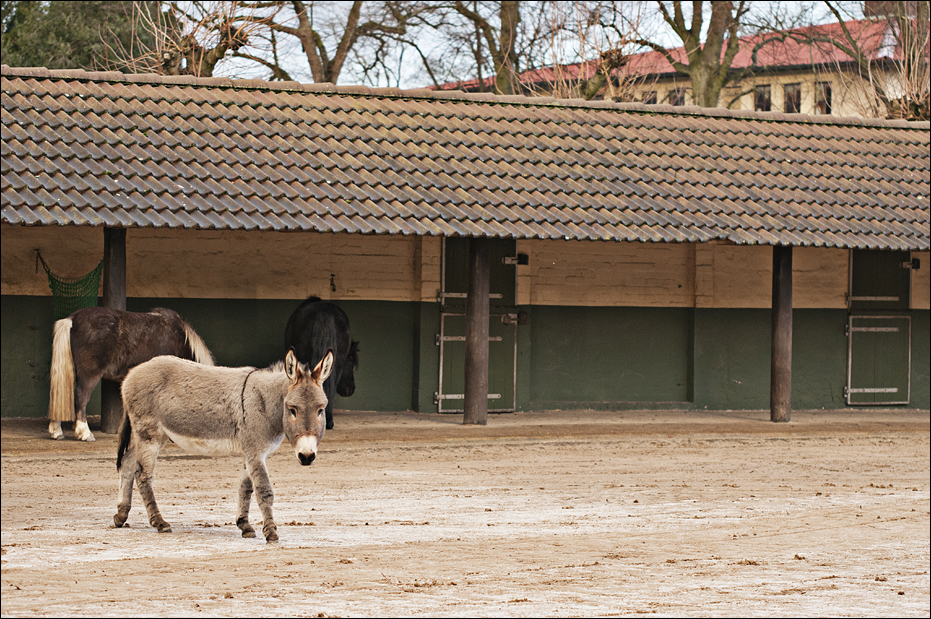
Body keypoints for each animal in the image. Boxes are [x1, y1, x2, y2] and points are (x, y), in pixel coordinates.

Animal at [114, 348, 334, 543]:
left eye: (320, 410)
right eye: (292, 410)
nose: (307, 456)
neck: (264, 402)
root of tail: (132, 372)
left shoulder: (250, 453)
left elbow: (245, 487)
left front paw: (244, 525)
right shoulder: (255, 452)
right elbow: (264, 490)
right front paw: (271, 532)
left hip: (152, 436)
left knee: (127, 463)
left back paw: (121, 515)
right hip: (149, 435)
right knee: (143, 474)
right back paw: (159, 522)